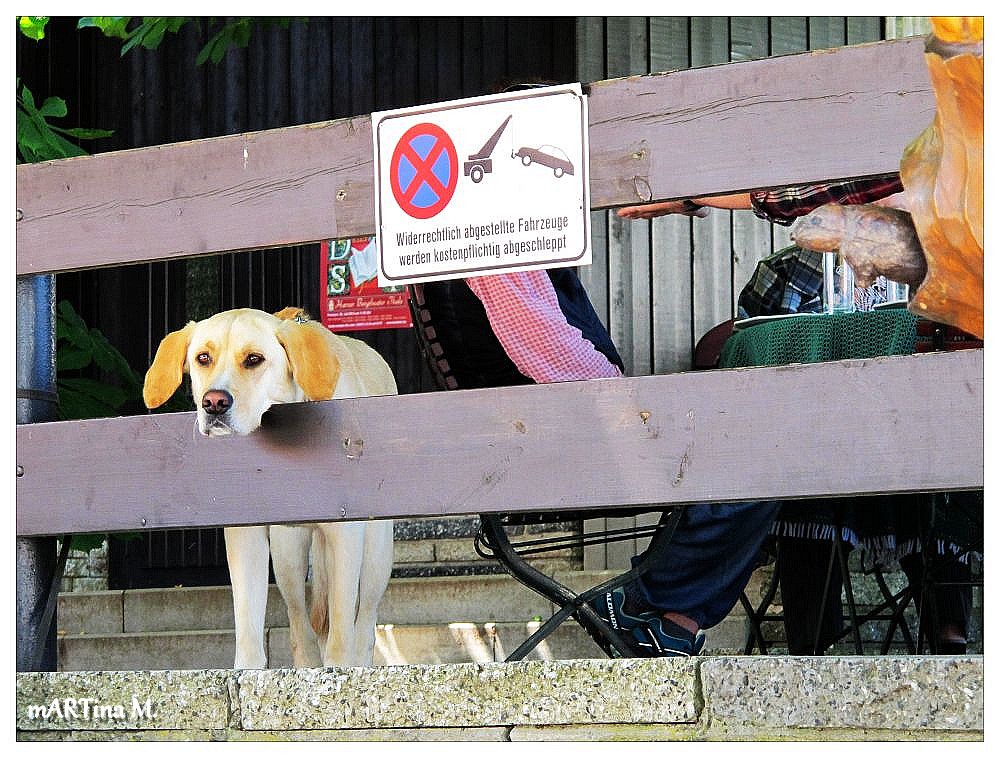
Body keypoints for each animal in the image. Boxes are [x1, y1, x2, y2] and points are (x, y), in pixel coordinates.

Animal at [142, 308, 398, 672]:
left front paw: (339, 670)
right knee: (300, 623)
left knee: (363, 621)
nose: (213, 403)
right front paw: (247, 671)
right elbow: (248, 621)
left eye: (254, 359)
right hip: (287, 554)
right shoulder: (245, 535)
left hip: (377, 553)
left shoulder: (346, 535)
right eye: (203, 358)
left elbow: (341, 628)